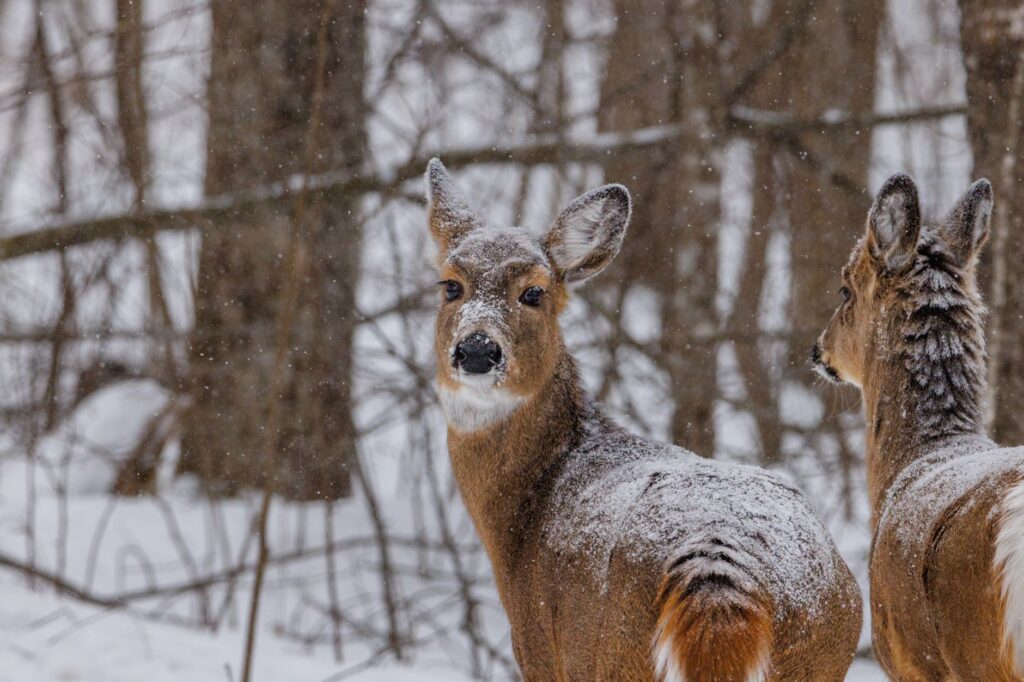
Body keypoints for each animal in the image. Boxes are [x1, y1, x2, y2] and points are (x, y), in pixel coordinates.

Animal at [425, 158, 862, 681]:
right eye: (451, 285)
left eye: (533, 292)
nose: (476, 350)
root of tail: (721, 566)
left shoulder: (540, 652)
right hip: (824, 650)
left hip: (615, 651)